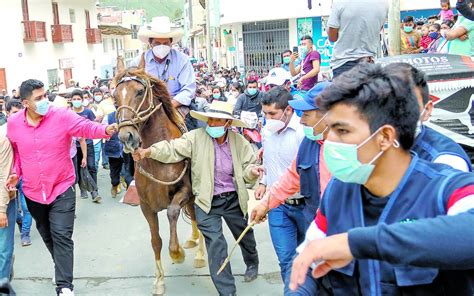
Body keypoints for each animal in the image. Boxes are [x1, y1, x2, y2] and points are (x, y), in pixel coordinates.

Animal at [114, 57, 206, 294]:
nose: (127, 136)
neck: (158, 154)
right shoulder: (146, 206)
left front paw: (177, 253)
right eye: (115, 96)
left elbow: (173, 212)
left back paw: (200, 254)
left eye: (139, 91)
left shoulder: (184, 191)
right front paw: (159, 280)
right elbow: (155, 240)